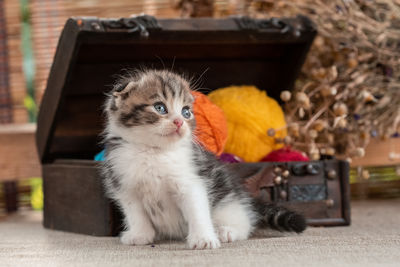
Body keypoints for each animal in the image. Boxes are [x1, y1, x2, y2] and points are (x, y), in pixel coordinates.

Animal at [101, 70, 306, 250]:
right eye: (160, 108)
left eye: (186, 112)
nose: (179, 122)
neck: (154, 151)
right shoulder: (126, 186)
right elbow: (135, 213)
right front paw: (140, 235)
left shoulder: (191, 181)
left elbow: (197, 210)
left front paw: (203, 239)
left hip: (228, 201)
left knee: (245, 221)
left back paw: (227, 231)